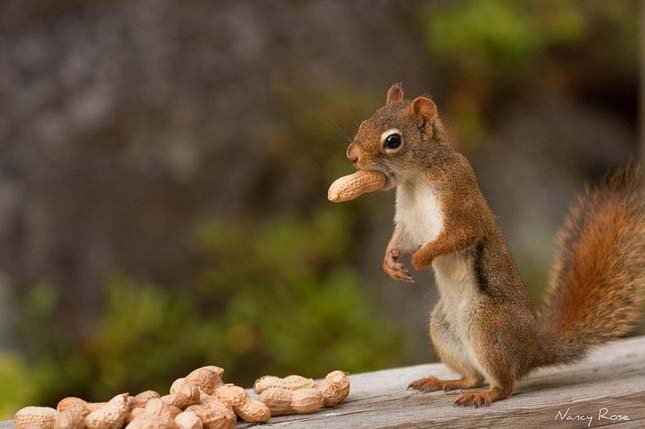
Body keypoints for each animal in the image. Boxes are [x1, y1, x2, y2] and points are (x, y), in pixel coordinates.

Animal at [344, 82, 644, 406]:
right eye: (365, 122)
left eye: (393, 140)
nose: (352, 156)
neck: (417, 178)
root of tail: (529, 351)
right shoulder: (408, 220)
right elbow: (402, 238)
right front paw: (390, 262)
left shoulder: (460, 202)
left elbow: (457, 236)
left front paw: (423, 258)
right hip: (443, 327)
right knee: (472, 376)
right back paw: (443, 381)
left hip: (486, 327)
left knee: (504, 384)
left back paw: (484, 395)